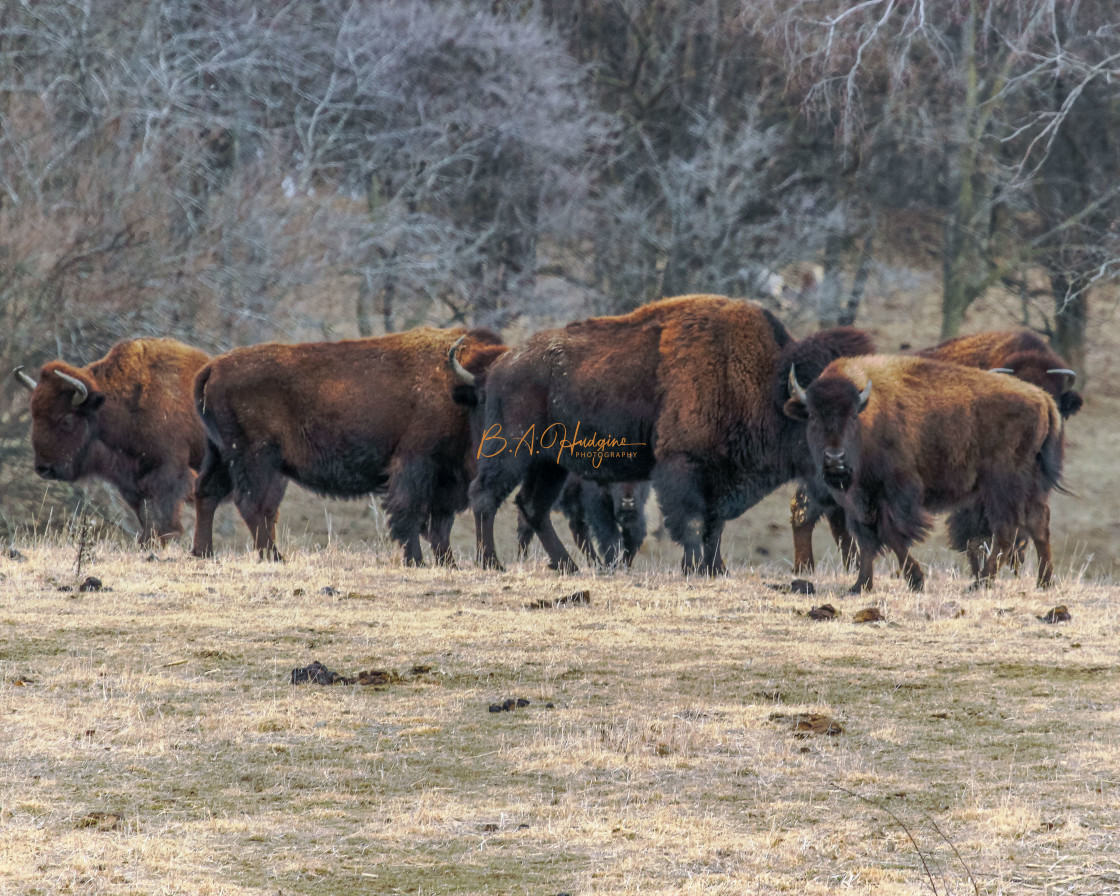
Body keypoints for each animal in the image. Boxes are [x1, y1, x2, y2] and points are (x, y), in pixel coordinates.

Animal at [13, 336, 210, 546]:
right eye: (34, 416)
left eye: (67, 420)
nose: (44, 468)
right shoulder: (132, 483)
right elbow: (146, 516)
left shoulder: (168, 473)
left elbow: (161, 516)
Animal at [194, 324, 506, 564]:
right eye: (484, 397)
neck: (456, 389)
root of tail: (213, 366)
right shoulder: (415, 464)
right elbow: (410, 512)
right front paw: (417, 561)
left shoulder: (445, 481)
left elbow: (441, 524)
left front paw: (449, 564)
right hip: (255, 458)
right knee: (250, 503)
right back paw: (274, 557)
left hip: (222, 455)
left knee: (207, 493)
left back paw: (204, 553)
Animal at [512, 474, 649, 566]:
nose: (628, 502)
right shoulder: (598, 511)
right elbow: (611, 538)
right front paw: (612, 566)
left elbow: (635, 536)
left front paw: (623, 566)